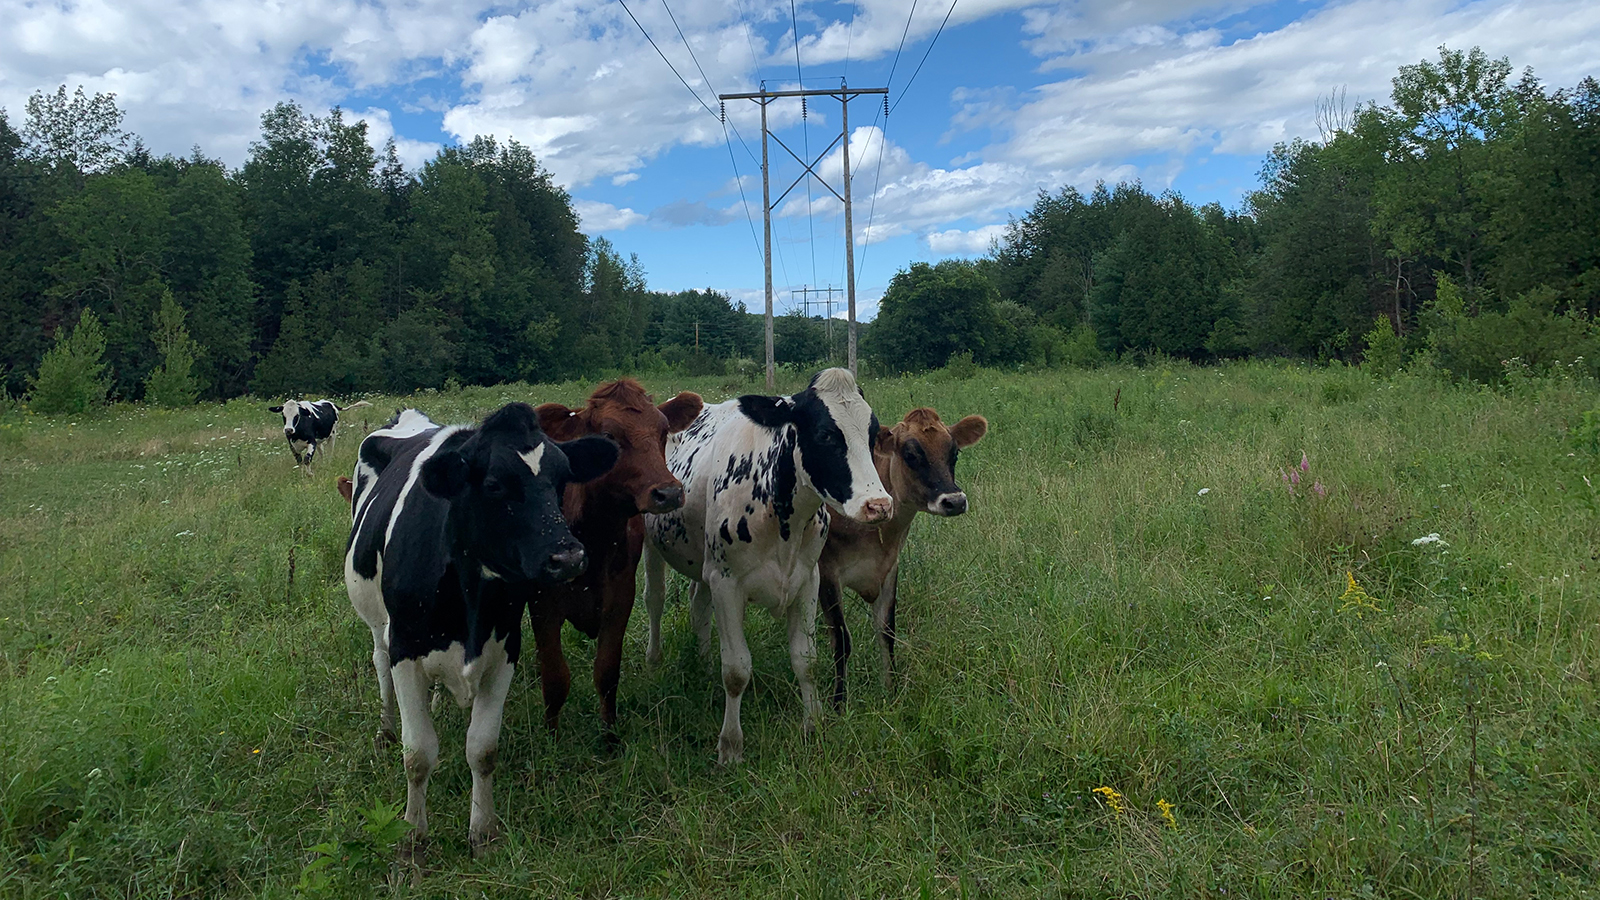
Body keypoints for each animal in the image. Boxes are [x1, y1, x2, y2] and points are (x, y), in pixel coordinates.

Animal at [344, 403, 618, 857]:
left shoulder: (505, 648)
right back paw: (385, 728)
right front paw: (413, 838)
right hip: (378, 623)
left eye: (562, 479)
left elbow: (483, 748)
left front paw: (483, 833)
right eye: (493, 484)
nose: (568, 557)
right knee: (378, 662)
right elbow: (417, 753)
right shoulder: (405, 647)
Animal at [527, 380, 703, 739]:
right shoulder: (542, 604)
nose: (668, 492)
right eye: (608, 435)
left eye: (663, 430)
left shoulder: (620, 597)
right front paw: (551, 739)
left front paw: (609, 736)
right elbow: (554, 678)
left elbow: (607, 673)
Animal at [642, 367, 894, 764]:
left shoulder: (808, 579)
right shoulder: (728, 583)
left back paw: (702, 662)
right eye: (825, 434)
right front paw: (730, 746)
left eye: (871, 435)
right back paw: (654, 661)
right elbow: (736, 670)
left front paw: (813, 725)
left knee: (698, 603)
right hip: (651, 543)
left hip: (704, 564)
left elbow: (806, 659)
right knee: (655, 598)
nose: (879, 505)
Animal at [817, 408, 987, 707]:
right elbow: (841, 639)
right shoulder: (827, 572)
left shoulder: (889, 568)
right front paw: (838, 704)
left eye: (954, 452)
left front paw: (891, 690)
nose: (954, 501)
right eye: (910, 455)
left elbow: (887, 631)